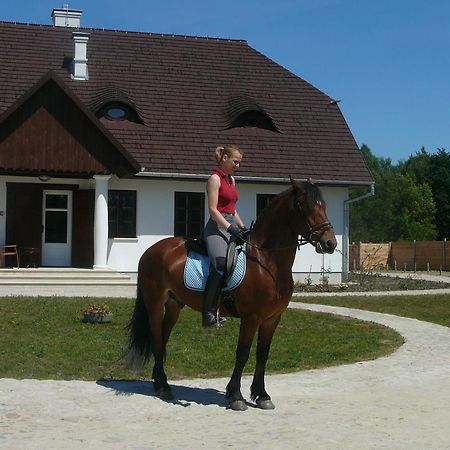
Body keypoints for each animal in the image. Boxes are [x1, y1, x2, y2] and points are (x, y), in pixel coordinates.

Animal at [125, 177, 336, 412]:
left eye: (324, 206)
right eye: (303, 206)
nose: (330, 243)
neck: (267, 261)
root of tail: (151, 250)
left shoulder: (272, 318)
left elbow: (263, 353)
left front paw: (262, 395)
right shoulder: (251, 317)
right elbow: (242, 353)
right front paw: (236, 396)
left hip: (173, 305)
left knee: (162, 339)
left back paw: (160, 384)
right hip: (154, 304)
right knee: (156, 339)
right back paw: (163, 387)